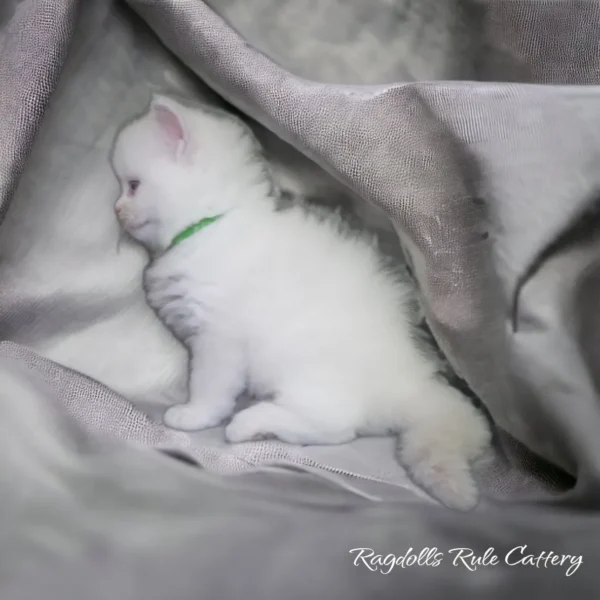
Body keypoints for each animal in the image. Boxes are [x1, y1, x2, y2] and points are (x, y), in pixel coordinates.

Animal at [110, 96, 490, 508]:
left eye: (133, 186)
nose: (116, 210)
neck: (214, 224)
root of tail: (415, 383)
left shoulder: (218, 338)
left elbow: (209, 386)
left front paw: (193, 415)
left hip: (306, 370)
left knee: (335, 426)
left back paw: (250, 424)